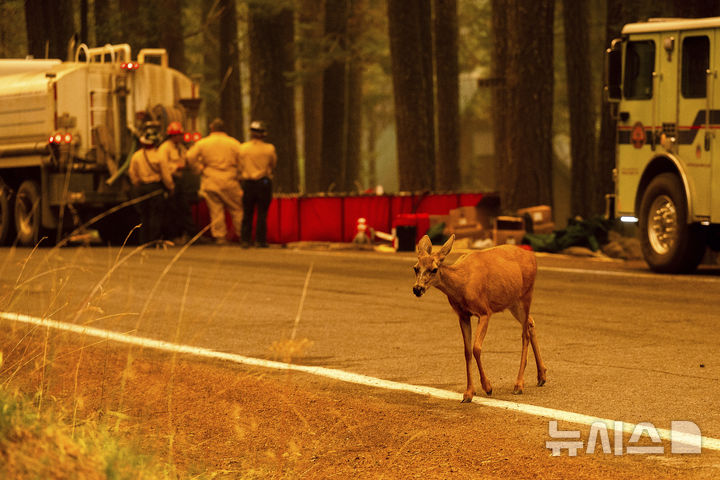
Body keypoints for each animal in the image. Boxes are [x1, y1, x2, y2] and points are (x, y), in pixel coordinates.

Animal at [414, 233, 548, 402]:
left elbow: (476, 348)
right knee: (531, 322)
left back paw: (518, 385)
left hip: (526, 295)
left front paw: (487, 387)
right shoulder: (463, 315)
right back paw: (541, 376)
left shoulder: (485, 311)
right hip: (512, 303)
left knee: (525, 335)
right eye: (415, 268)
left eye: (434, 269)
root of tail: (533, 256)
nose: (417, 289)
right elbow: (467, 351)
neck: (462, 284)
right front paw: (468, 393)